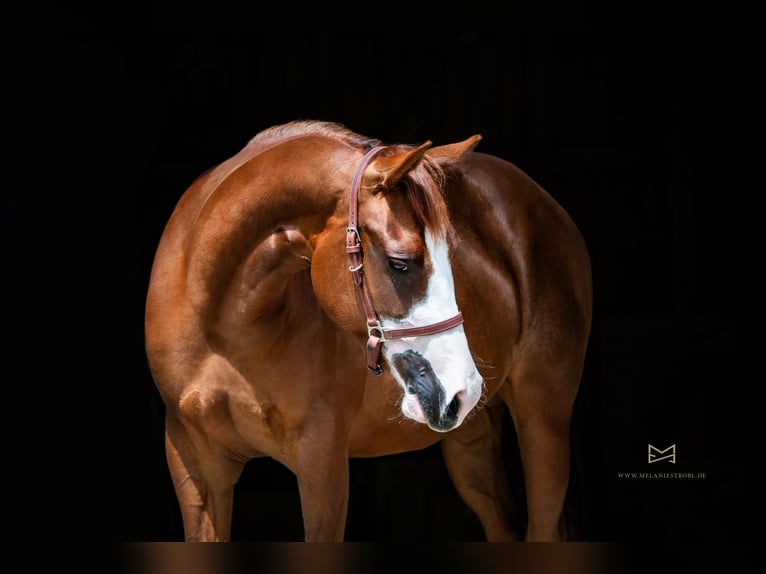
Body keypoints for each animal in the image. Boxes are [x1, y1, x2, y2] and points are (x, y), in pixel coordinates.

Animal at [147, 119, 596, 544]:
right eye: (400, 262)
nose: (463, 388)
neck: (227, 330)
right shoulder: (195, 466)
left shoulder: (322, 463)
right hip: (471, 442)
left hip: (543, 419)